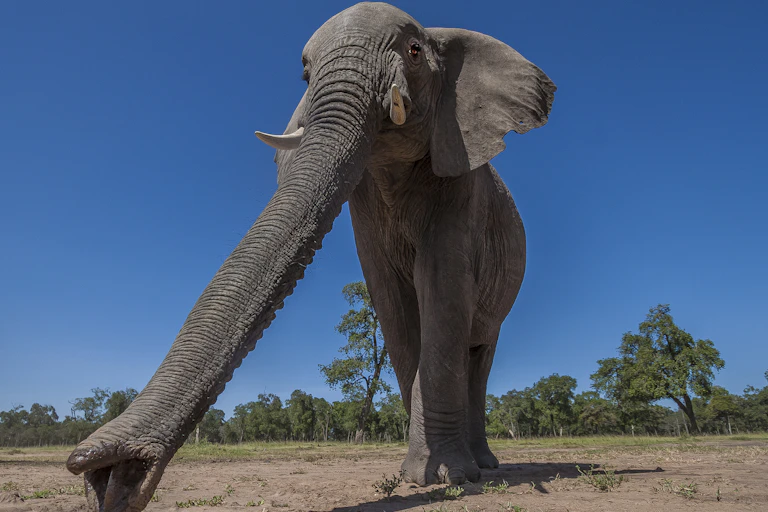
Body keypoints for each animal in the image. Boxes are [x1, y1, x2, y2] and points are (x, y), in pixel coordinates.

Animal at [66, 3, 555, 510]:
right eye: (304, 75)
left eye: (414, 51)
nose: (107, 476)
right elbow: (394, 306)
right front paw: (417, 476)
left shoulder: (461, 183)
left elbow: (441, 289)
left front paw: (447, 476)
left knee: (479, 353)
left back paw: (485, 467)